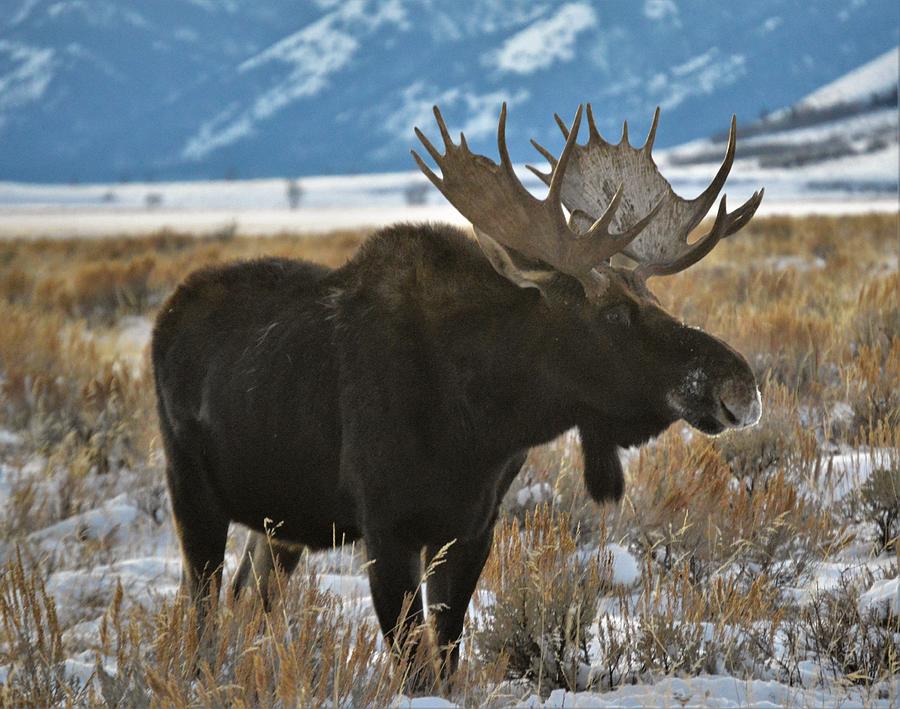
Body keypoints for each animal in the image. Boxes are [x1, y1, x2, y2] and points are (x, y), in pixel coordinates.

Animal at [151, 102, 764, 676]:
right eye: (613, 313)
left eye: (655, 301)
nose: (740, 385)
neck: (481, 423)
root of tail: (166, 314)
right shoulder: (386, 528)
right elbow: (414, 664)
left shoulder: (471, 529)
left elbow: (446, 656)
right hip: (192, 489)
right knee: (203, 608)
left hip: (280, 522)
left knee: (248, 599)